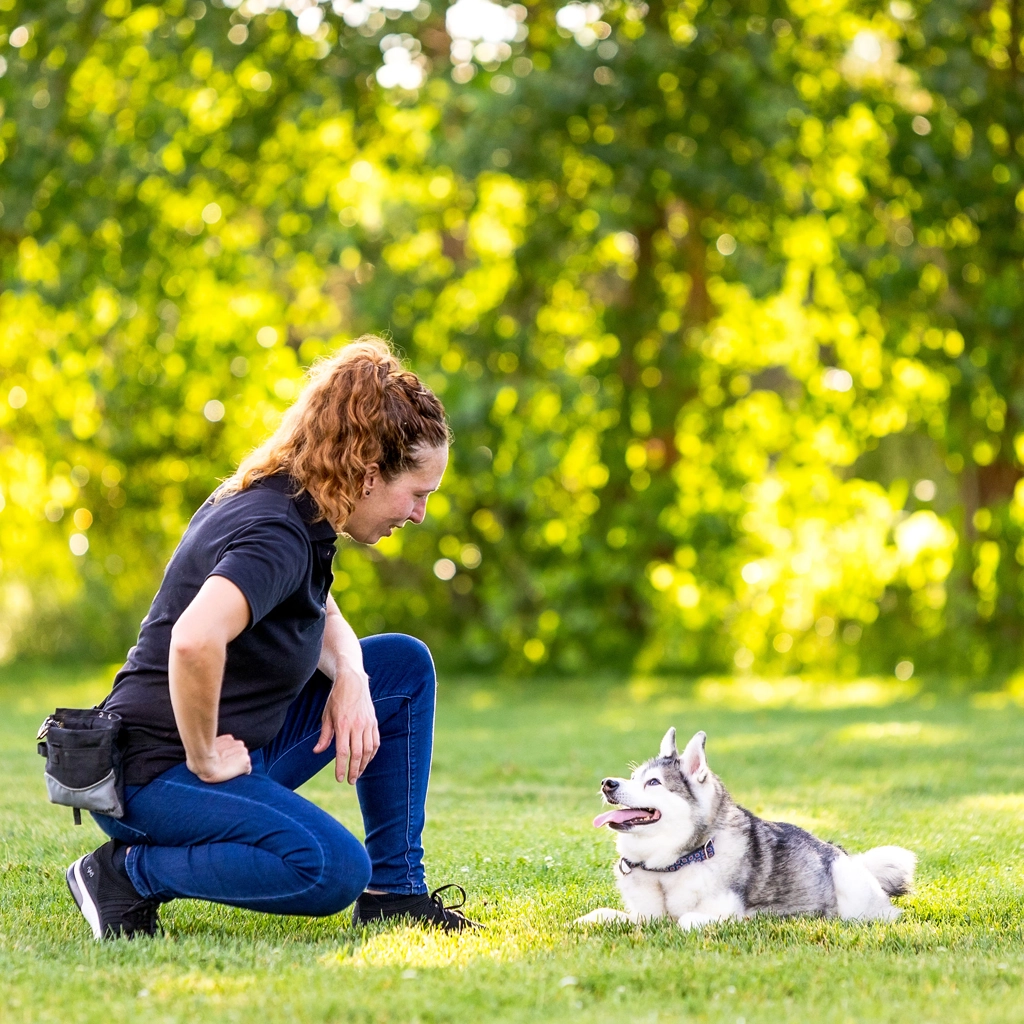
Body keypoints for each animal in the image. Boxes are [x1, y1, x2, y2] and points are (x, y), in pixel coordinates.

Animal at [577, 729, 921, 929]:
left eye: (653, 783)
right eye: (634, 778)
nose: (608, 783)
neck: (673, 865)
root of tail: (850, 857)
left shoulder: (721, 913)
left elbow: (685, 920)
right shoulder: (643, 914)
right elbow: (602, 915)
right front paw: (586, 921)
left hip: (849, 890)